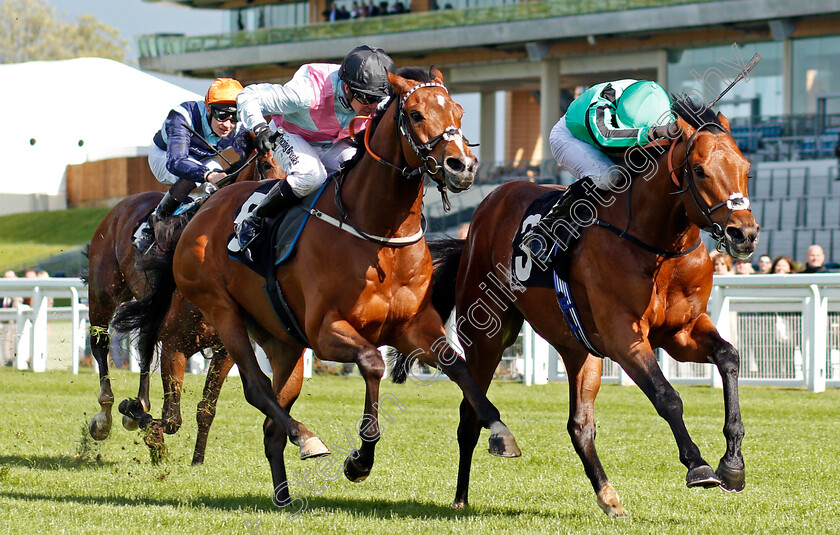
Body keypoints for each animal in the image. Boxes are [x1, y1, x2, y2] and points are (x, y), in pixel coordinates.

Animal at [86, 148, 282, 464]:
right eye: (265, 165)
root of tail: (122, 205)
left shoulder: (225, 351)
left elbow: (206, 409)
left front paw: (197, 459)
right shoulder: (175, 345)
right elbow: (172, 418)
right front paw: (150, 434)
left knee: (143, 348)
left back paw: (139, 403)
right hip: (103, 292)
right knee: (100, 344)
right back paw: (105, 416)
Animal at [111, 67, 520, 506]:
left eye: (458, 110)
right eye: (414, 114)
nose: (462, 166)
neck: (379, 233)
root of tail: (202, 211)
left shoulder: (414, 327)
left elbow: (458, 366)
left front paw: (500, 431)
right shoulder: (326, 331)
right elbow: (372, 364)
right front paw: (359, 460)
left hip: (282, 340)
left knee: (271, 422)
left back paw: (284, 495)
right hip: (223, 314)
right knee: (256, 389)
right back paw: (305, 438)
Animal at [424, 95, 756, 516]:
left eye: (745, 168)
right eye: (699, 171)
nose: (744, 233)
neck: (658, 243)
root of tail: (486, 208)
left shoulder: (681, 332)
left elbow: (728, 357)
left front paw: (733, 465)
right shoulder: (623, 336)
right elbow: (667, 397)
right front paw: (698, 465)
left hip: (579, 347)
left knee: (579, 424)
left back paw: (608, 496)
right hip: (488, 334)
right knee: (470, 413)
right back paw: (461, 497)